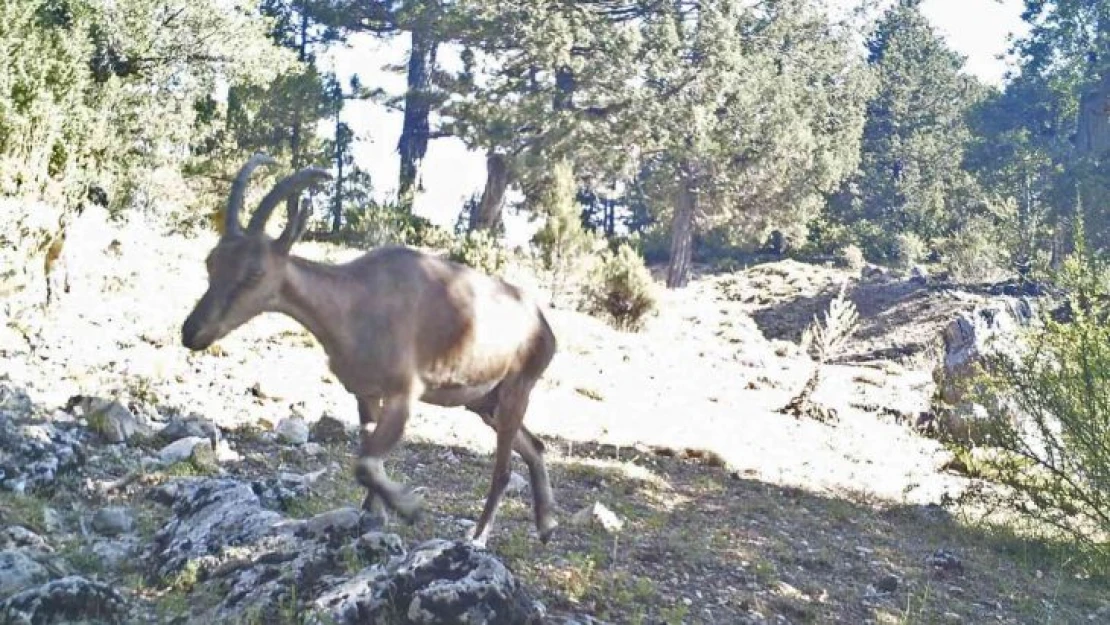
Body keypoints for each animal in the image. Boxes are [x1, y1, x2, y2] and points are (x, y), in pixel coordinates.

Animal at [184, 154, 563, 546]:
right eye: (211, 261)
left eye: (255, 272)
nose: (191, 332)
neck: (356, 303)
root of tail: (543, 323)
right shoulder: (365, 394)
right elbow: (368, 457)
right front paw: (373, 516)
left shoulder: (404, 393)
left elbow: (366, 463)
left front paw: (410, 507)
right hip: (484, 402)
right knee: (534, 445)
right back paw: (547, 526)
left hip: (518, 387)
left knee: (503, 469)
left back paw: (478, 537)